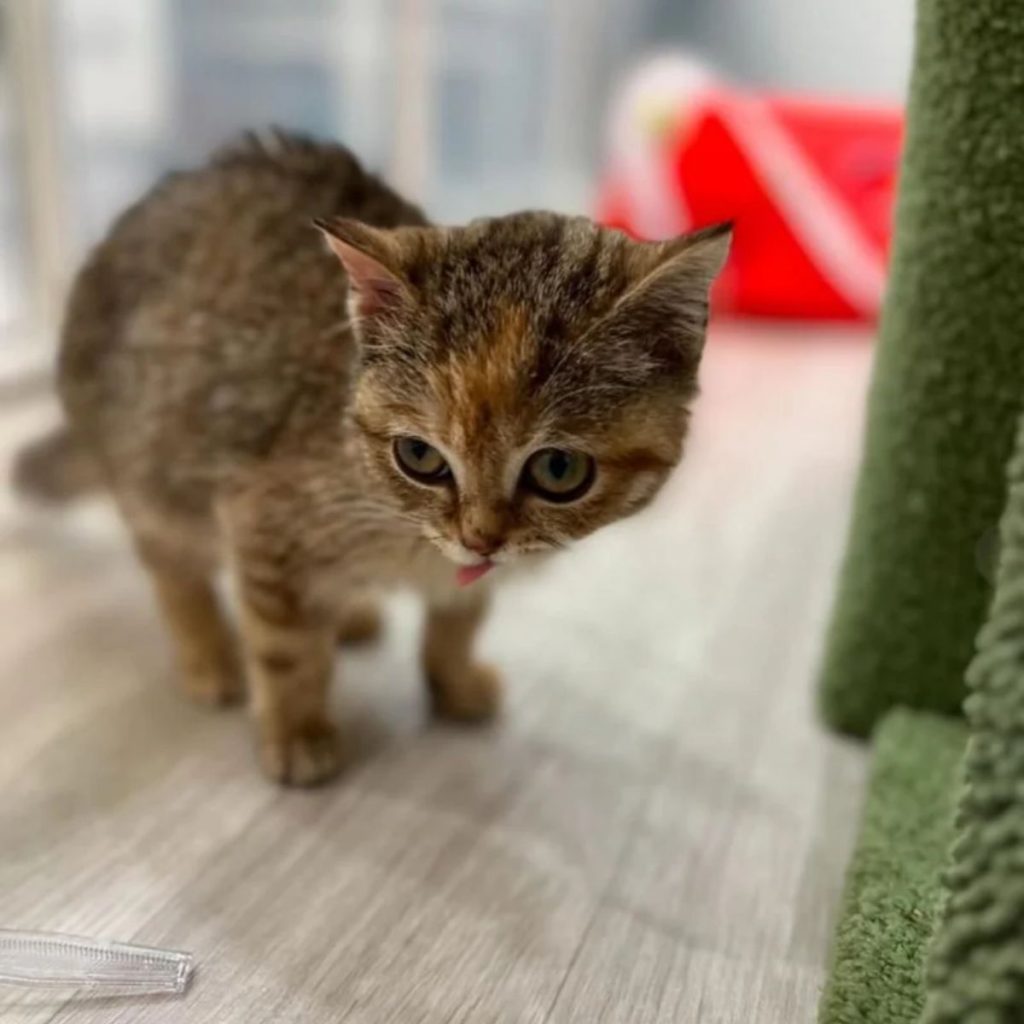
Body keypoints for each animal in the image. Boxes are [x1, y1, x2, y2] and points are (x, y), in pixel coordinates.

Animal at [16, 128, 729, 782]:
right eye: (419, 455)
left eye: (559, 470)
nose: (480, 537)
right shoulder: (264, 520)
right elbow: (286, 649)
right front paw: (296, 732)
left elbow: (459, 617)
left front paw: (454, 681)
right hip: (155, 469)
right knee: (174, 570)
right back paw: (208, 655)